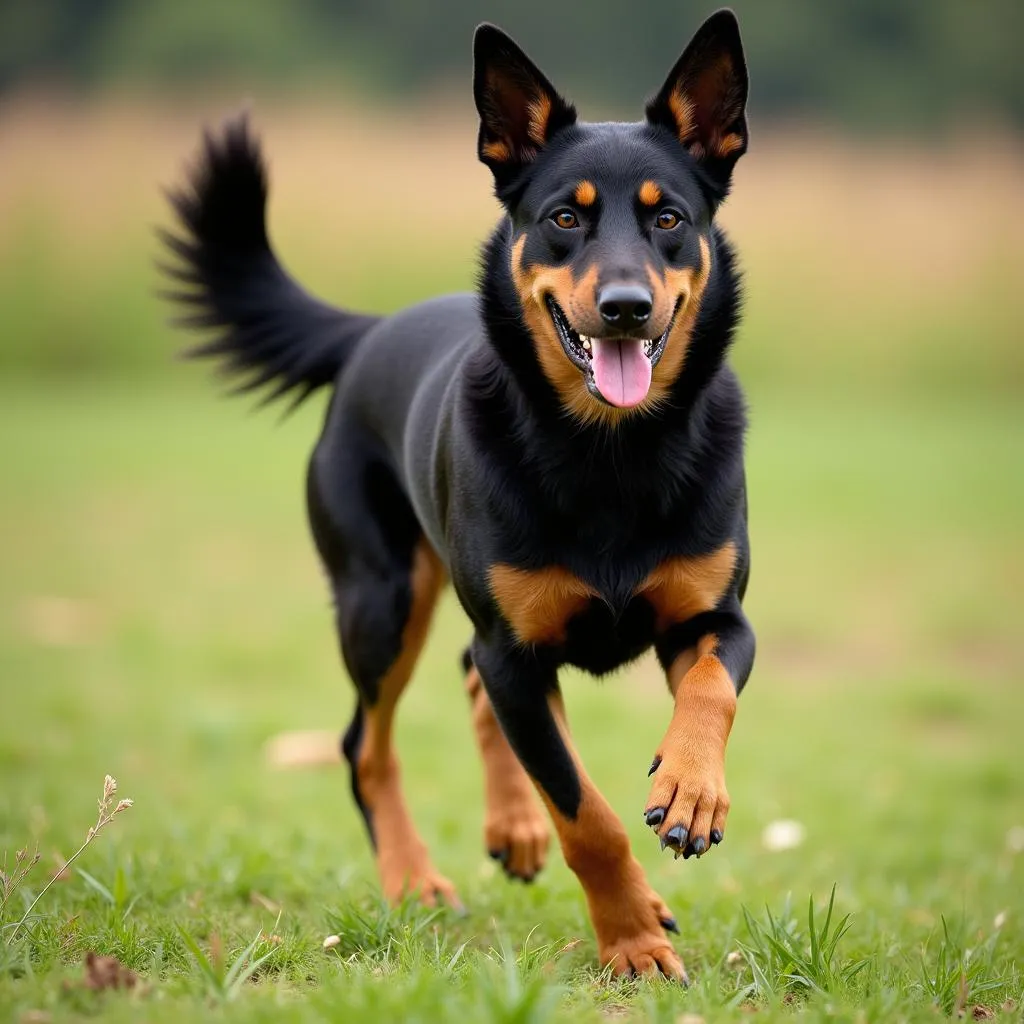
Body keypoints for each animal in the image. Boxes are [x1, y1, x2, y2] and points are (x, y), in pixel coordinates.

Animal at [159, 9, 753, 983]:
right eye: (563, 218)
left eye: (669, 217)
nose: (626, 307)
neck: (609, 452)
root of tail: (372, 331)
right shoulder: (516, 652)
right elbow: (585, 813)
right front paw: (630, 942)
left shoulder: (713, 617)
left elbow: (710, 688)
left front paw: (691, 789)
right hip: (382, 601)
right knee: (366, 743)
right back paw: (414, 880)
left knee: (466, 685)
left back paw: (515, 827)